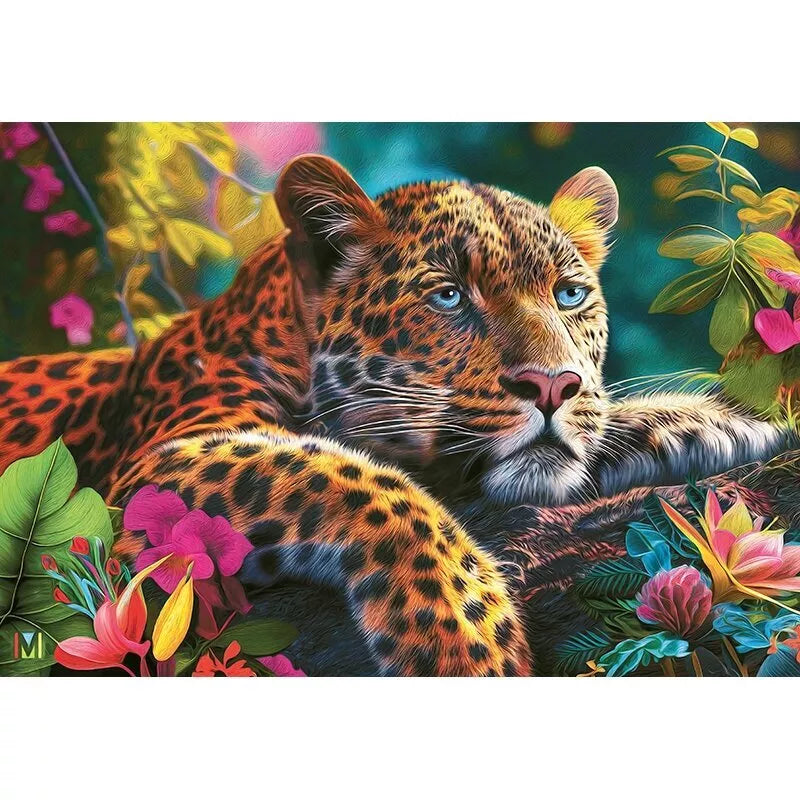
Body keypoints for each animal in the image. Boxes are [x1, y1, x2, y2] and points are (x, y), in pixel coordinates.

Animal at [0, 155, 786, 676]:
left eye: (569, 295)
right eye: (448, 296)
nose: (554, 384)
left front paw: (708, 420)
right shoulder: (151, 472)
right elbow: (353, 478)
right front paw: (471, 643)